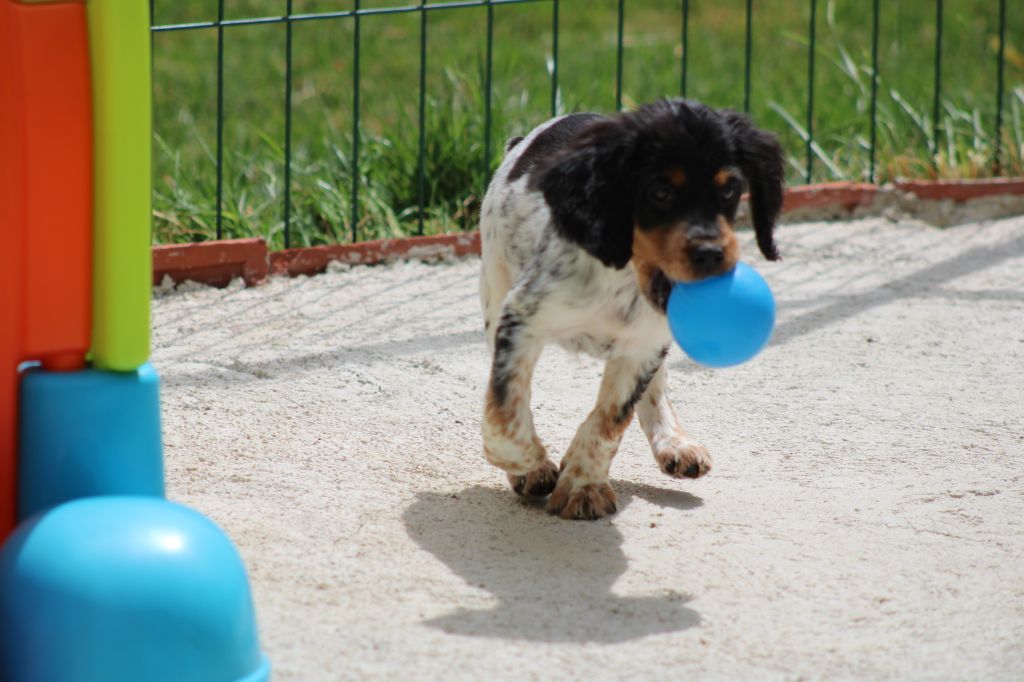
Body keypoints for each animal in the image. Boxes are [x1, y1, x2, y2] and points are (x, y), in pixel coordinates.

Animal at [479, 98, 782, 518]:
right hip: (495, 282)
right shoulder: (522, 320)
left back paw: (674, 442)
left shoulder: (643, 345)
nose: (711, 254)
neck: (624, 274)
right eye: (660, 193)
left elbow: (610, 419)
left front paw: (583, 485)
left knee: (655, 387)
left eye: (730, 191)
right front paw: (530, 465)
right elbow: (506, 413)